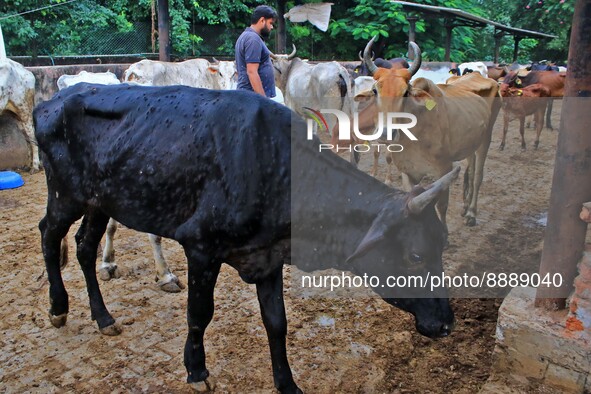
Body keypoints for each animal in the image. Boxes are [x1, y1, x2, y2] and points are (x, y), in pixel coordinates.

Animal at [33, 83, 458, 394]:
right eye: (416, 256)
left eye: (442, 245)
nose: (447, 324)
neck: (276, 168)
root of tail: (54, 99)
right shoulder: (201, 247)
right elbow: (199, 314)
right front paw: (196, 371)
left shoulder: (267, 256)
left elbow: (277, 322)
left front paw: (287, 384)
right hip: (65, 195)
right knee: (49, 235)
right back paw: (58, 307)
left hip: (99, 201)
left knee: (85, 247)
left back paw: (103, 317)